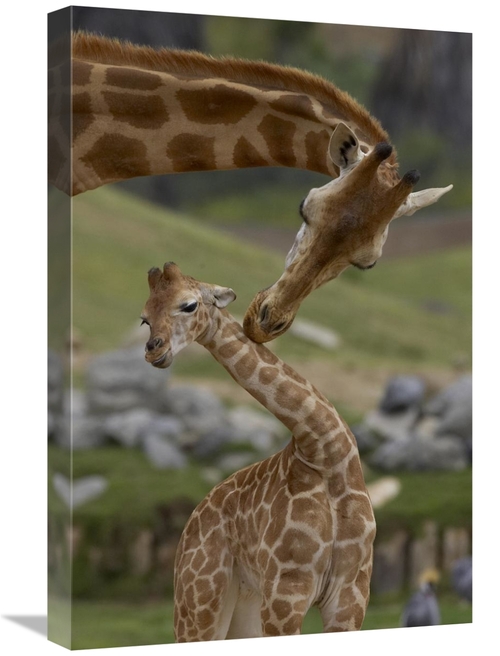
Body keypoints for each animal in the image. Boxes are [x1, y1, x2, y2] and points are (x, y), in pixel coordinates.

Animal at [141, 261, 376, 641]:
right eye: (144, 318)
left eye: (189, 305)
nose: (153, 350)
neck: (325, 453)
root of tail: (189, 524)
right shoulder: (285, 591)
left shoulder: (351, 594)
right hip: (199, 601)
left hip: (245, 604)